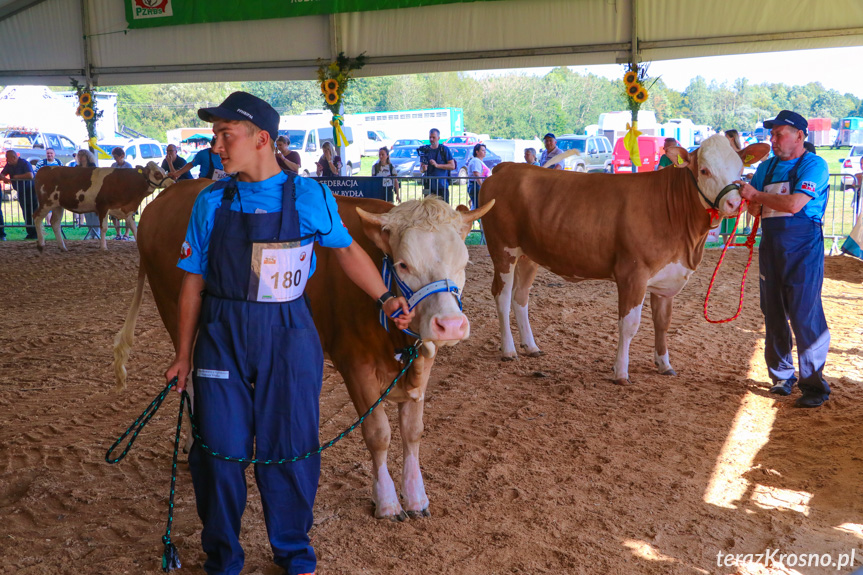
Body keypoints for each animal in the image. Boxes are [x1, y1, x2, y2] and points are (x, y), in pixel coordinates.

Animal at [33, 162, 172, 252]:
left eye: (164, 170)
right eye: (157, 174)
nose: (171, 182)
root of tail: (44, 169)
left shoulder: (127, 209)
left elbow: (134, 228)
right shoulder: (103, 207)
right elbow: (104, 228)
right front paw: (104, 247)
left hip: (58, 205)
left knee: (55, 223)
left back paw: (62, 247)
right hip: (46, 203)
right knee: (37, 217)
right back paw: (41, 244)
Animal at [482, 134, 772, 384]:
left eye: (739, 168)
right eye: (704, 170)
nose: (735, 203)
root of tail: (506, 168)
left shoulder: (666, 278)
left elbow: (662, 323)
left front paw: (664, 364)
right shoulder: (633, 273)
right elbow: (629, 324)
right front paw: (621, 372)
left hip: (529, 255)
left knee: (521, 297)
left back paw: (531, 346)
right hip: (503, 249)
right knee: (502, 295)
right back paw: (508, 350)